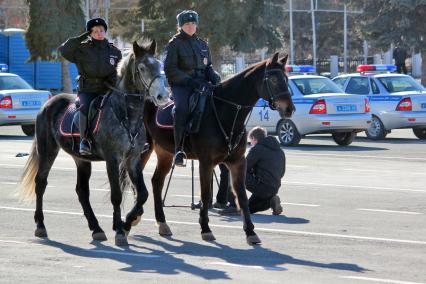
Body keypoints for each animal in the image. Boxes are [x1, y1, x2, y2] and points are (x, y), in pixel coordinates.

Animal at [18, 40, 169, 246]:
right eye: (142, 68)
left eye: (160, 65)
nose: (163, 96)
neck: (126, 114)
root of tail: (48, 103)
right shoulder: (113, 159)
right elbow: (116, 195)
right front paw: (120, 231)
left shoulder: (133, 159)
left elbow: (143, 194)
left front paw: (127, 222)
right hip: (47, 151)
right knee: (40, 183)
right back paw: (41, 226)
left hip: (81, 159)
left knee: (81, 191)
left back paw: (96, 228)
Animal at [141, 51, 294, 244]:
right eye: (273, 79)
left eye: (286, 79)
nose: (289, 108)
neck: (224, 112)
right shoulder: (206, 163)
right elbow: (205, 195)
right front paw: (205, 229)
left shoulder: (238, 162)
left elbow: (241, 196)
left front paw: (250, 232)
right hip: (142, 151)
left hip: (165, 154)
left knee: (156, 182)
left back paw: (162, 224)